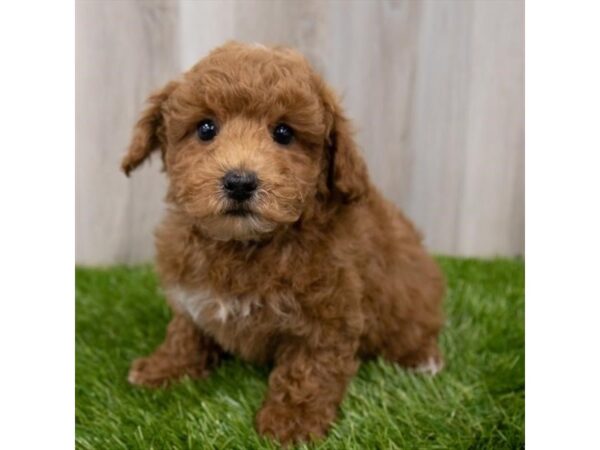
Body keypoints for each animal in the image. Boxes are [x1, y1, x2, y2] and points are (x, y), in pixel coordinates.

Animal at [122, 43, 442, 446]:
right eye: (206, 128)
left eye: (284, 133)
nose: (240, 182)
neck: (245, 244)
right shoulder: (191, 293)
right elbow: (186, 331)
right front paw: (164, 368)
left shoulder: (328, 315)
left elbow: (308, 369)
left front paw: (292, 422)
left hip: (411, 300)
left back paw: (424, 360)